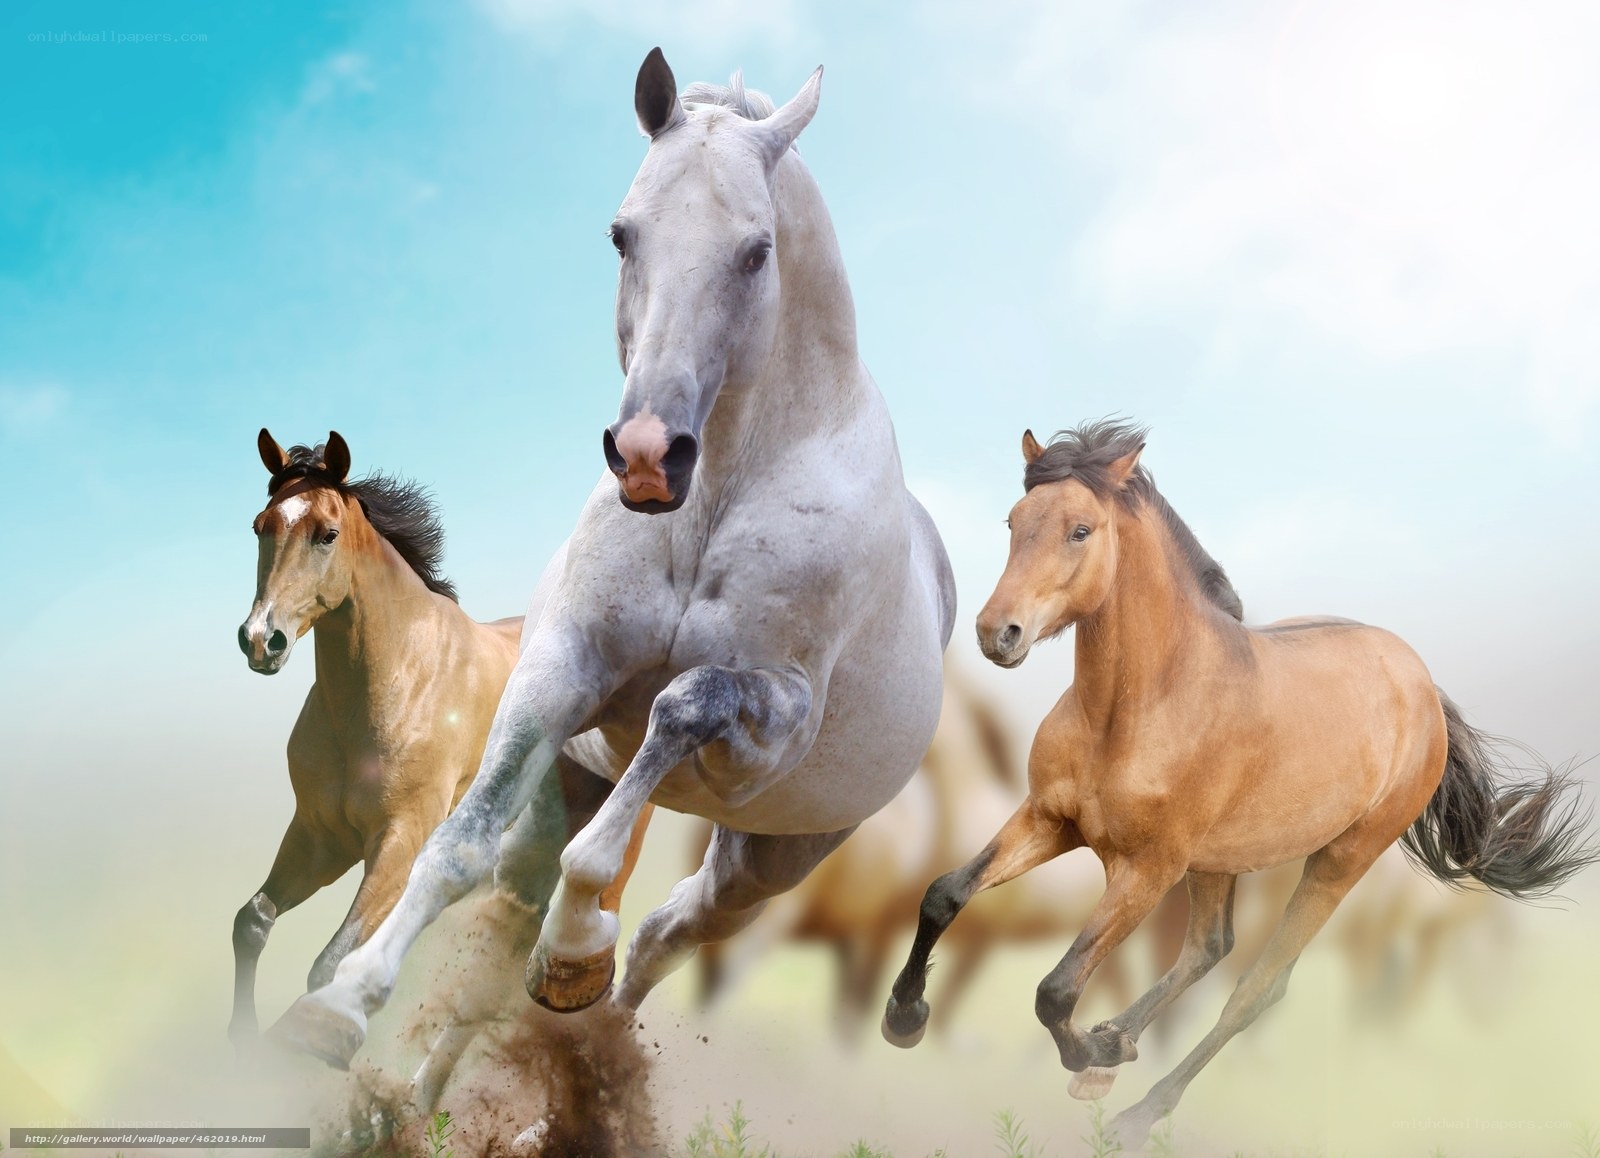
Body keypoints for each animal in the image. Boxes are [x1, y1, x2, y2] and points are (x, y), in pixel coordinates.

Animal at [232, 431, 651, 1110]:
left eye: (327, 533)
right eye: (260, 526)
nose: (260, 640)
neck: (397, 680)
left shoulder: (400, 842)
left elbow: (329, 962)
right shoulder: (321, 836)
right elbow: (253, 922)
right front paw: (238, 1049)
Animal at [267, 49, 954, 1071]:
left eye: (757, 251)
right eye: (623, 236)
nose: (646, 455)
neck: (716, 498)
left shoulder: (768, 724)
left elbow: (680, 709)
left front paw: (575, 942)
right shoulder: (562, 668)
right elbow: (458, 845)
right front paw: (340, 1006)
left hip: (770, 857)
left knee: (670, 932)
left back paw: (582, 1005)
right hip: (578, 780)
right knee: (512, 922)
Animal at [882, 419, 1594, 1146]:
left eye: (1080, 529)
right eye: (1014, 521)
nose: (997, 632)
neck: (1136, 707)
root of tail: (1422, 686)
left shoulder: (1147, 869)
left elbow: (1055, 988)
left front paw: (1088, 1050)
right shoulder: (1050, 821)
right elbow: (944, 894)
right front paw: (905, 1018)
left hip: (1338, 862)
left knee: (1257, 986)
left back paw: (1136, 1108)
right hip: (1219, 861)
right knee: (1208, 948)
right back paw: (1116, 1051)